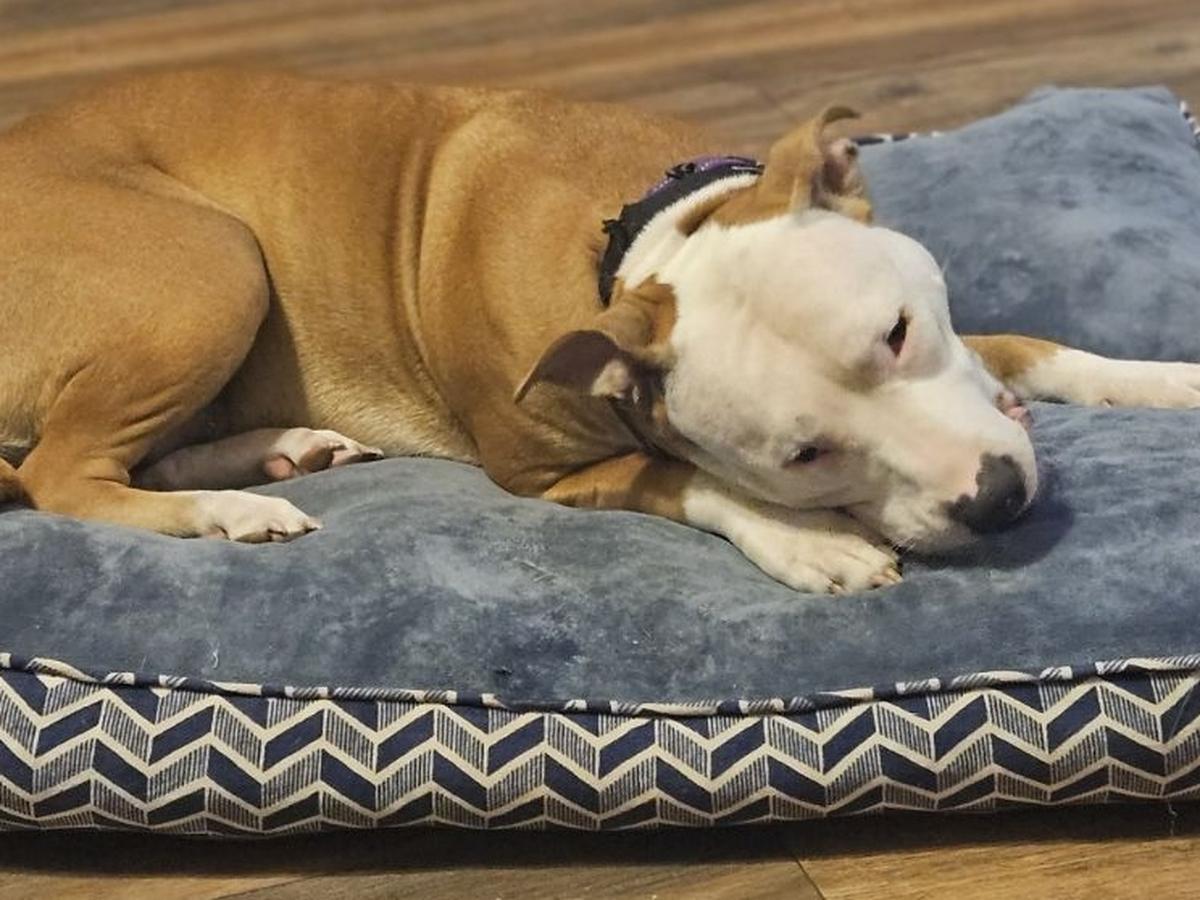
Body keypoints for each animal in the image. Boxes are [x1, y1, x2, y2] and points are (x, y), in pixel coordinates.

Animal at [2, 68, 1199, 593]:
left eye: (902, 330)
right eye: (803, 457)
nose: (995, 499)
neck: (644, 254)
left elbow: (1032, 348)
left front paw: (1168, 380)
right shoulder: (546, 474)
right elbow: (683, 478)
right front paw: (811, 541)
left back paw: (275, 451)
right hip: (213, 262)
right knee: (64, 474)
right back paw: (231, 508)